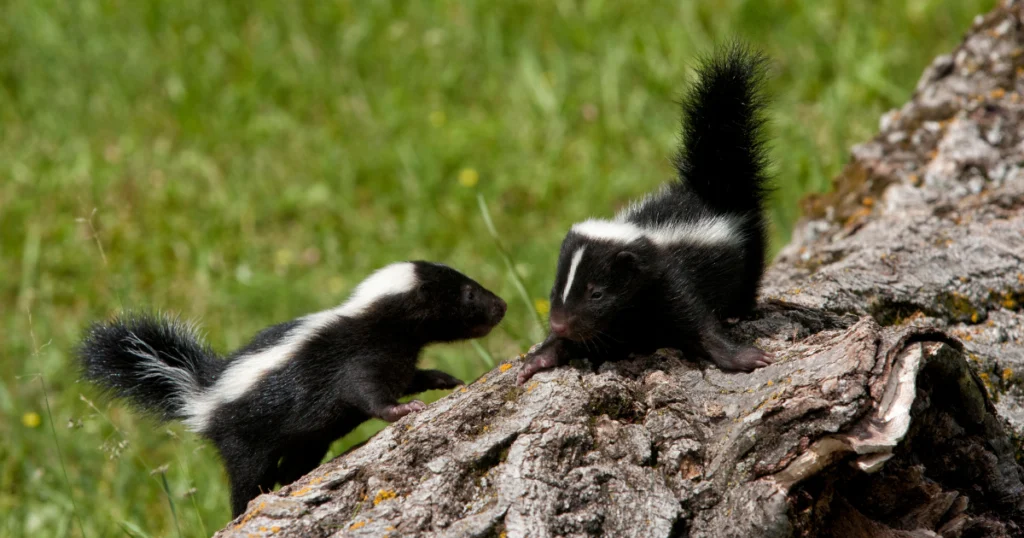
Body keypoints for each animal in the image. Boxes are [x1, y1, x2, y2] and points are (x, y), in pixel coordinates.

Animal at [79, 260, 507, 516]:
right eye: (469, 293)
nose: (501, 305)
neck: (378, 321)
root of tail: (201, 395)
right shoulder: (356, 361)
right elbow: (367, 393)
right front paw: (404, 410)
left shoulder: (394, 357)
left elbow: (408, 377)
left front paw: (442, 380)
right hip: (245, 438)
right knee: (248, 480)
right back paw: (245, 508)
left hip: (305, 440)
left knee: (293, 466)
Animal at [516, 44, 770, 383]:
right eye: (555, 289)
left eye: (597, 294)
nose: (559, 323)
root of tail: (710, 187)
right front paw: (538, 358)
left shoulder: (670, 281)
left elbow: (700, 325)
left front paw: (744, 356)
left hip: (749, 246)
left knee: (748, 279)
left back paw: (738, 312)